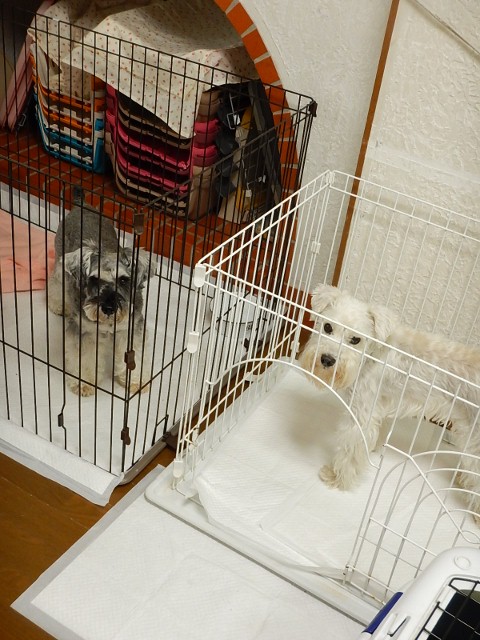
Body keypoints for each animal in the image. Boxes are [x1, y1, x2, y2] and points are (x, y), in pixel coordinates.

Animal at [48, 203, 155, 396]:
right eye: (94, 279)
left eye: (123, 280)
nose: (108, 308)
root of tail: (81, 204)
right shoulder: (86, 332)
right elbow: (86, 358)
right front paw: (84, 383)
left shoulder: (131, 329)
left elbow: (135, 356)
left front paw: (137, 381)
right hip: (61, 264)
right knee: (56, 281)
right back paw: (59, 305)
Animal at [298, 284, 480, 517]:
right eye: (328, 327)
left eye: (356, 340)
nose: (327, 359)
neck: (372, 355)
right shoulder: (378, 407)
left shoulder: (362, 414)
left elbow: (350, 451)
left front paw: (337, 478)